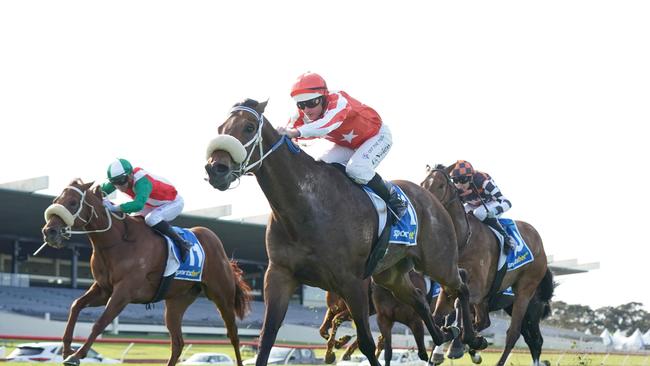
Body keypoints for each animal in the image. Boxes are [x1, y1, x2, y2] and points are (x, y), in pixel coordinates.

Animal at [39, 179, 249, 366]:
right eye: (56, 200)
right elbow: (76, 305)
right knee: (178, 343)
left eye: (73, 203)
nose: (49, 232)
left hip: (222, 297)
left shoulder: (124, 292)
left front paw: (76, 355)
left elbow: (101, 322)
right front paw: (67, 349)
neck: (118, 241)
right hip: (177, 302)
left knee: (233, 335)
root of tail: (217, 244)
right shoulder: (104, 289)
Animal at [205, 98, 484, 366]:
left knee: (461, 282)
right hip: (390, 275)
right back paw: (443, 335)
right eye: (220, 129)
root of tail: (433, 199)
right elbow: (267, 337)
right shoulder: (279, 274)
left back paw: (469, 339)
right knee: (418, 298)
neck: (306, 207)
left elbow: (367, 343)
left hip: (437, 261)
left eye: (249, 127)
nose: (215, 169)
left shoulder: (353, 282)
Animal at [420, 166, 552, 366]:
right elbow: (438, 318)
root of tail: (539, 242)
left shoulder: (476, 288)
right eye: (422, 183)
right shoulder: (447, 290)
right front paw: (453, 345)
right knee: (488, 323)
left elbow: (458, 306)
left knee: (516, 335)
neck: (463, 240)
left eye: (441, 185)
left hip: (525, 295)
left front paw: (457, 345)